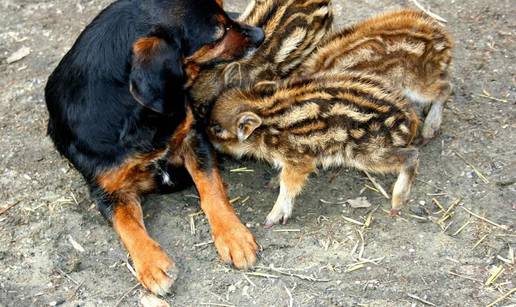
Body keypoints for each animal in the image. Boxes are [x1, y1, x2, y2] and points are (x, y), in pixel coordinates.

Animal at [44, 0, 264, 298]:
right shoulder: (107, 191)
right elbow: (128, 226)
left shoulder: (194, 139)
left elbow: (213, 191)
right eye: (218, 34)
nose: (260, 34)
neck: (134, 114)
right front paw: (152, 264)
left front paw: (233, 235)